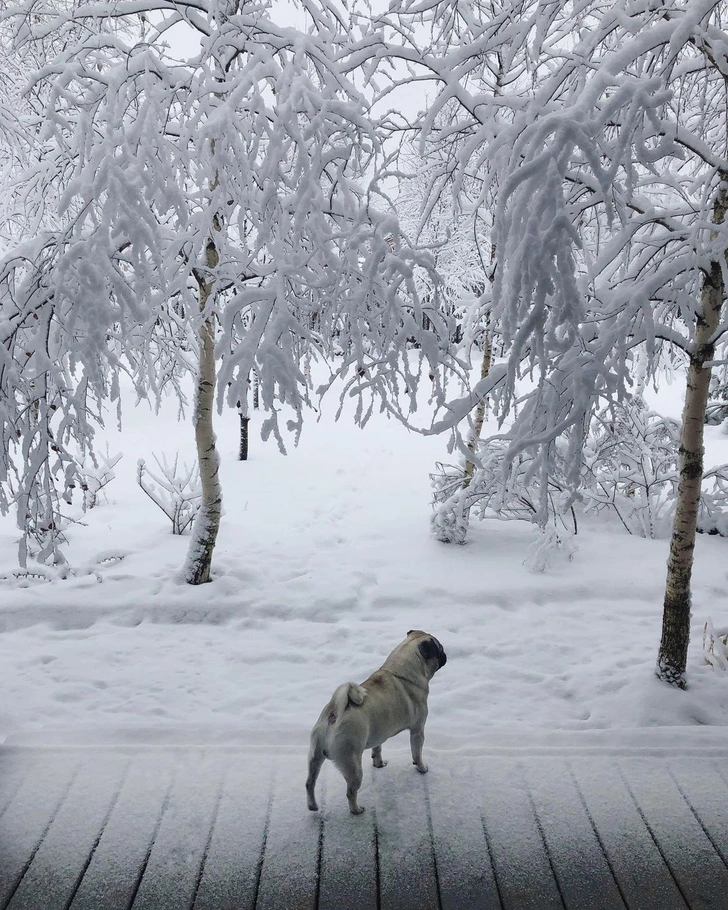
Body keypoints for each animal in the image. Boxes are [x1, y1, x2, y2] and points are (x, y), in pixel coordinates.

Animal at [304, 632, 446, 816]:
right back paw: (356, 810)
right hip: (353, 765)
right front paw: (421, 767)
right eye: (439, 649)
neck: (399, 673)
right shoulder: (417, 730)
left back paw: (313, 805)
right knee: (351, 791)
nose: (445, 654)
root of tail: (334, 714)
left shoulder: (379, 734)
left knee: (309, 783)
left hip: (314, 758)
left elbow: (377, 749)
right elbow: (417, 753)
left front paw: (379, 764)